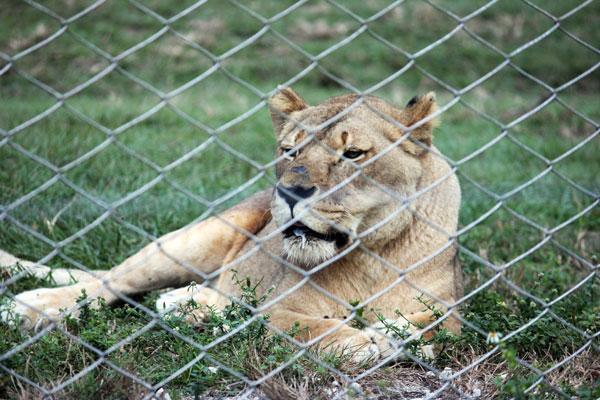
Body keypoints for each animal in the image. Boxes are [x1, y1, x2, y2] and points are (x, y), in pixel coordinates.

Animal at [0, 87, 462, 362]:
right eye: (290, 150)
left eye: (352, 154)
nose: (290, 194)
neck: (372, 254)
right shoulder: (281, 307)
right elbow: (307, 327)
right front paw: (362, 339)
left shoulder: (451, 311)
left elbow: (436, 326)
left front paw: (394, 332)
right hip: (200, 236)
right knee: (110, 281)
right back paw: (33, 306)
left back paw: (192, 307)